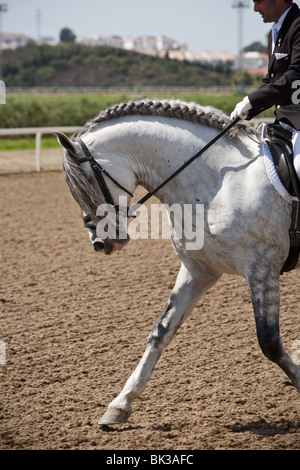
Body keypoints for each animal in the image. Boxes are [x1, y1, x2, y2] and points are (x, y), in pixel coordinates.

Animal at [55, 99, 298, 426]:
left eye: (87, 185)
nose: (101, 244)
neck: (220, 182)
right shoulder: (199, 271)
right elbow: (161, 331)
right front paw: (120, 404)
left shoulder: (262, 268)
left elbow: (269, 342)